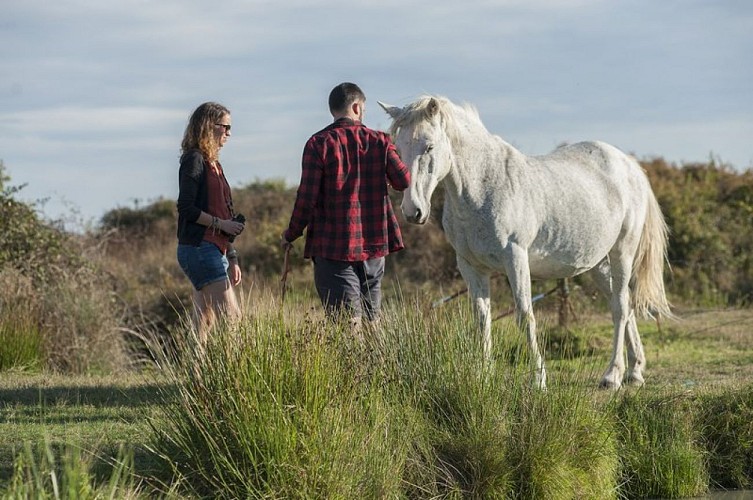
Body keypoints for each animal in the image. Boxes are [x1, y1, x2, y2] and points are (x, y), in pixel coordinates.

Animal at [379, 96, 672, 390]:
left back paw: (612, 375)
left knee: (620, 306)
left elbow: (524, 316)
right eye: (398, 148)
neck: (483, 186)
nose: (412, 211)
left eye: (429, 146)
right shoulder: (471, 267)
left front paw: (538, 379)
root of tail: (629, 165)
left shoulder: (515, 258)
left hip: (622, 251)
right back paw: (635, 371)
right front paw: (484, 375)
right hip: (598, 264)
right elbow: (482, 320)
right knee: (624, 304)